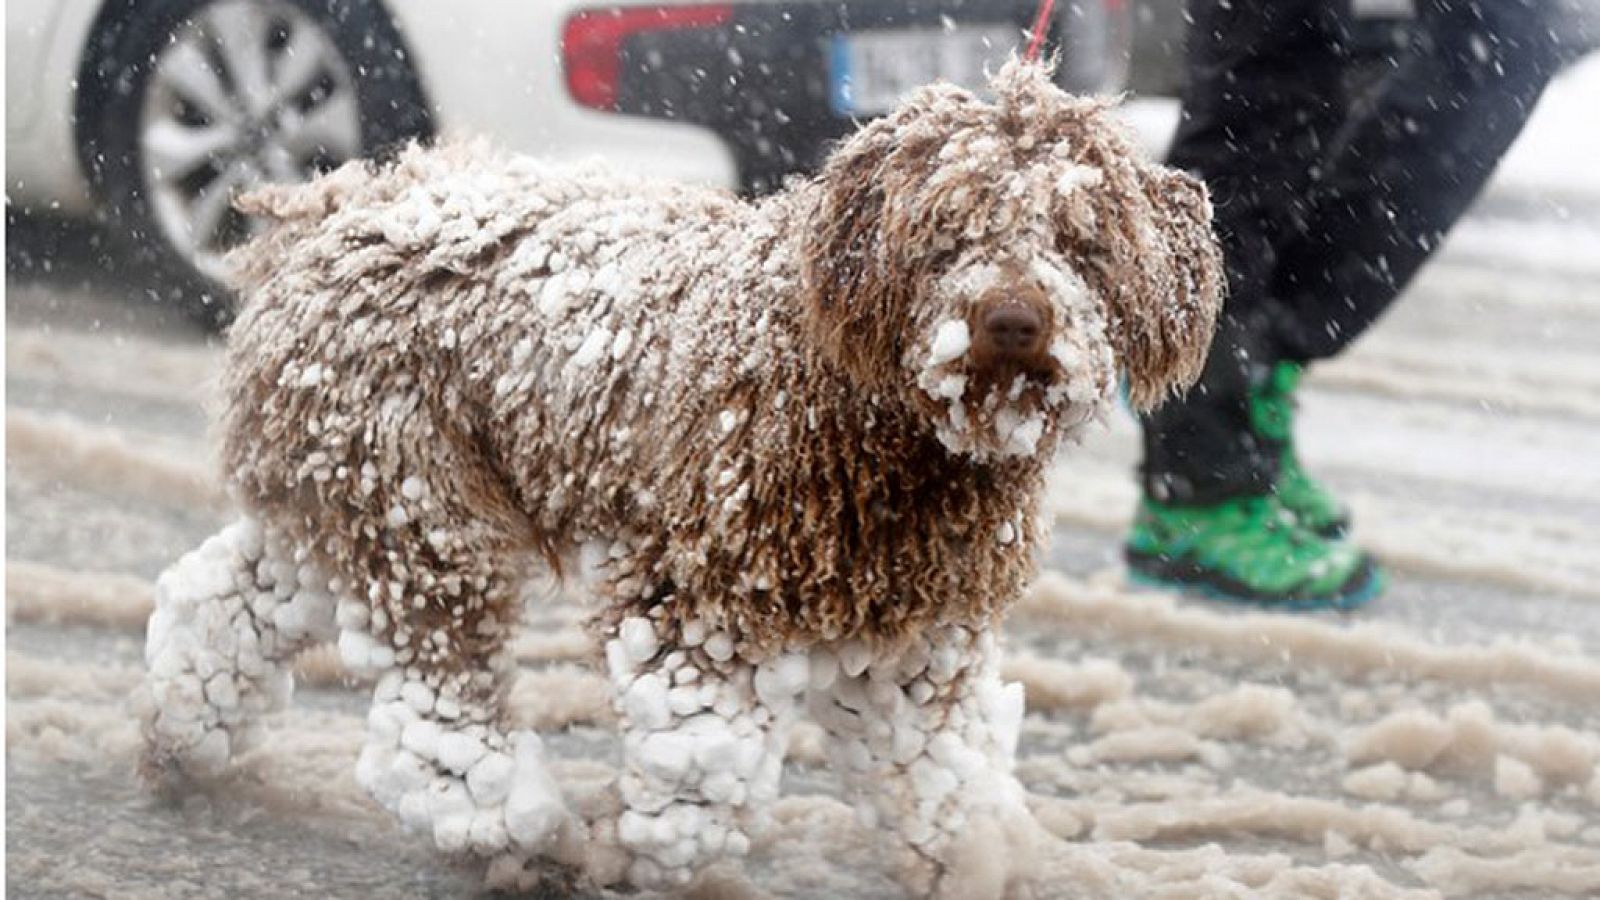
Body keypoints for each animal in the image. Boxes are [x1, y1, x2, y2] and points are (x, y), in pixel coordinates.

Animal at [144, 61, 1216, 890]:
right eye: (948, 229)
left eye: (1082, 240)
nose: (1013, 321)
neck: (876, 410)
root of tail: (349, 204)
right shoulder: (699, 593)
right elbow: (707, 774)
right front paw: (647, 852)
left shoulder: (919, 631)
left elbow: (942, 778)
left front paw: (977, 860)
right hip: (423, 507)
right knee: (428, 718)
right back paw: (521, 834)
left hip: (342, 490)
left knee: (227, 603)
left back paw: (178, 734)